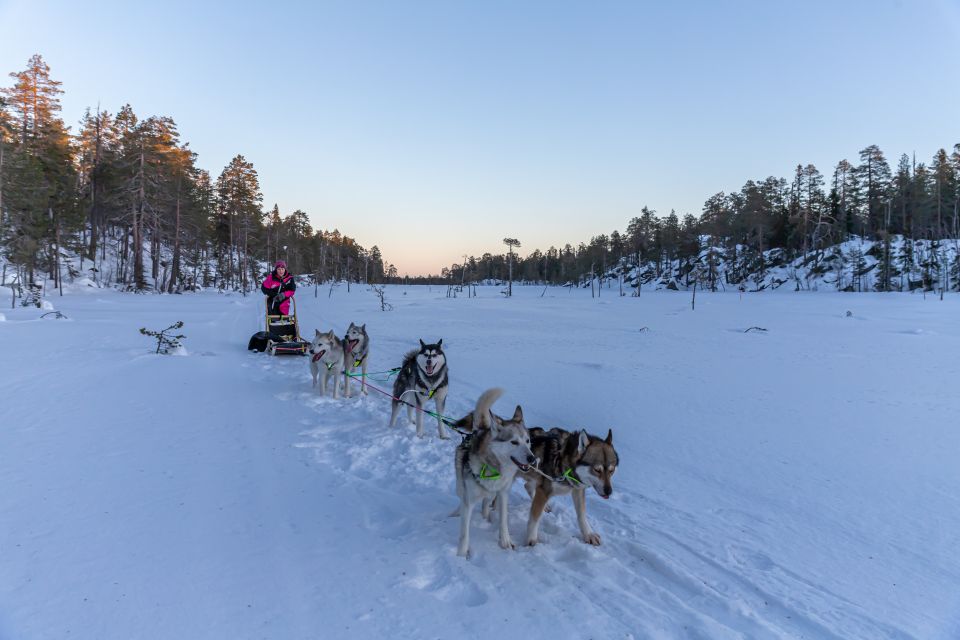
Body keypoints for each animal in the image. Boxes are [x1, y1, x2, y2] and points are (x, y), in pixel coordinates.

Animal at [454, 388, 536, 556]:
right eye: (514, 442)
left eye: (527, 441)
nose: (532, 458)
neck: (493, 468)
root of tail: (478, 431)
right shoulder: (469, 500)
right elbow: (464, 532)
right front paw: (461, 555)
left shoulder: (503, 494)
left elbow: (503, 521)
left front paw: (505, 542)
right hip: (461, 485)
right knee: (461, 497)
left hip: (492, 495)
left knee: (486, 503)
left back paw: (486, 517)